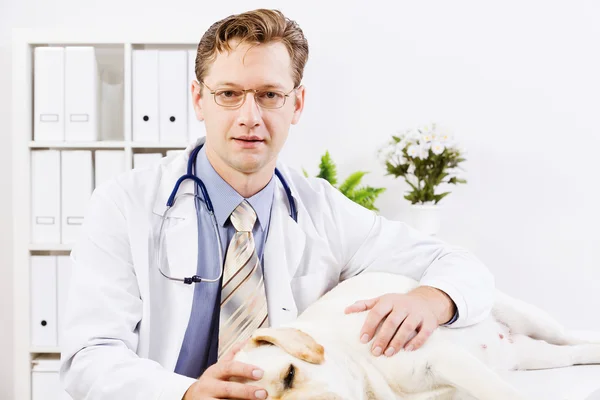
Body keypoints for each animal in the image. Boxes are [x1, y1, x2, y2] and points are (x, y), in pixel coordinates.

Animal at [233, 272, 600, 400]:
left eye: (290, 375)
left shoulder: (437, 358)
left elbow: (504, 394)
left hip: (531, 318)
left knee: (572, 340)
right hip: (533, 356)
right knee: (569, 355)